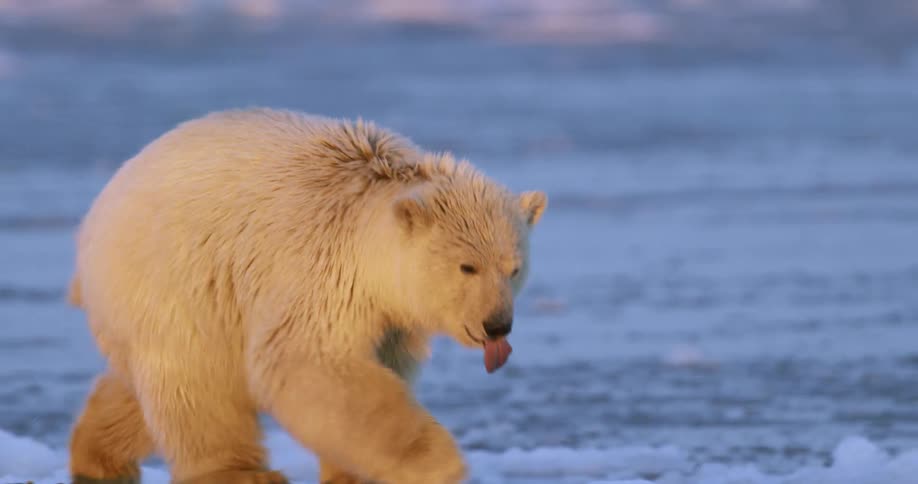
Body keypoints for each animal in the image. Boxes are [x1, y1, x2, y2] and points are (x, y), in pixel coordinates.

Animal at [66, 108, 547, 484]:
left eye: (514, 268)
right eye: (467, 266)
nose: (497, 325)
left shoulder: (389, 320)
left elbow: (376, 370)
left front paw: (351, 470)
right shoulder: (319, 270)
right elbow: (308, 362)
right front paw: (436, 462)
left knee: (142, 383)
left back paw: (99, 456)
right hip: (174, 277)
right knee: (197, 378)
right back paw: (242, 473)